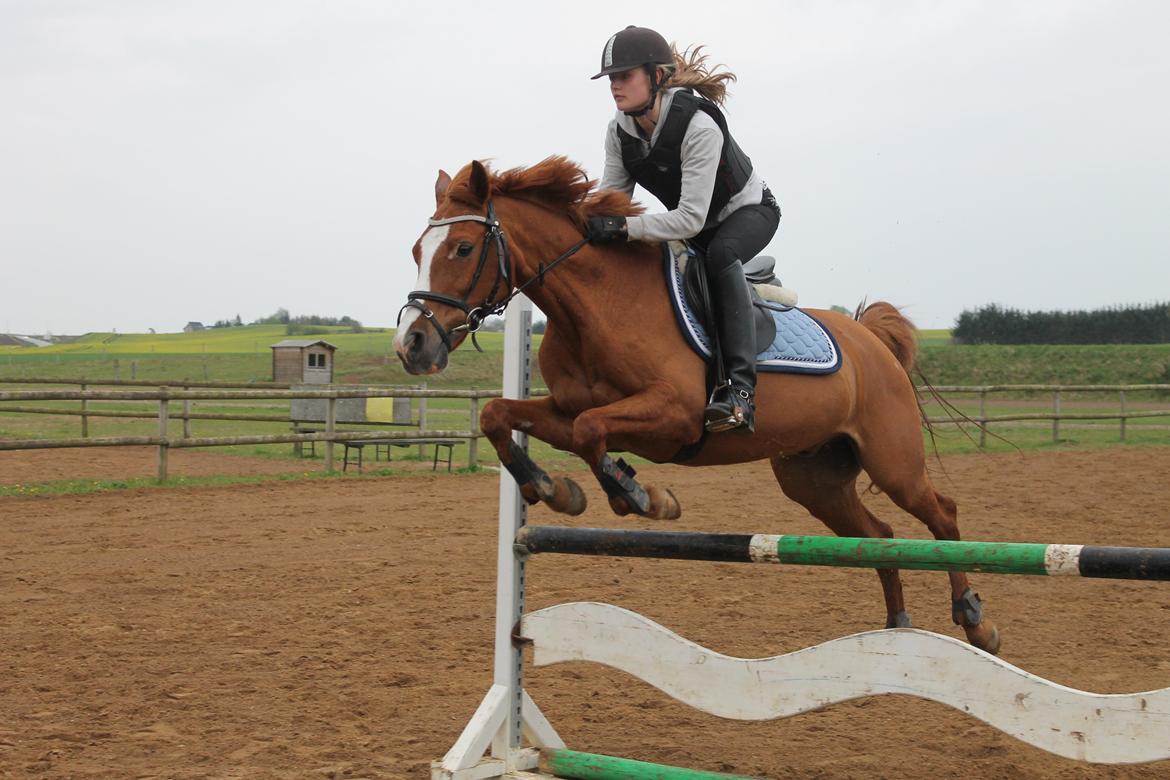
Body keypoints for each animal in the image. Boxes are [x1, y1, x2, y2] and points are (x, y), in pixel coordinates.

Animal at [393, 155, 996, 654]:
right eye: (417, 251)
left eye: (463, 248)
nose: (411, 345)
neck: (597, 305)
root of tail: (871, 339)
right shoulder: (567, 410)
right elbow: (505, 415)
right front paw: (554, 489)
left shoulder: (674, 416)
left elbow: (591, 431)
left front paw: (642, 497)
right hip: (814, 478)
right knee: (879, 537)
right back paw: (897, 626)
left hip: (893, 462)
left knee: (941, 513)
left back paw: (974, 619)